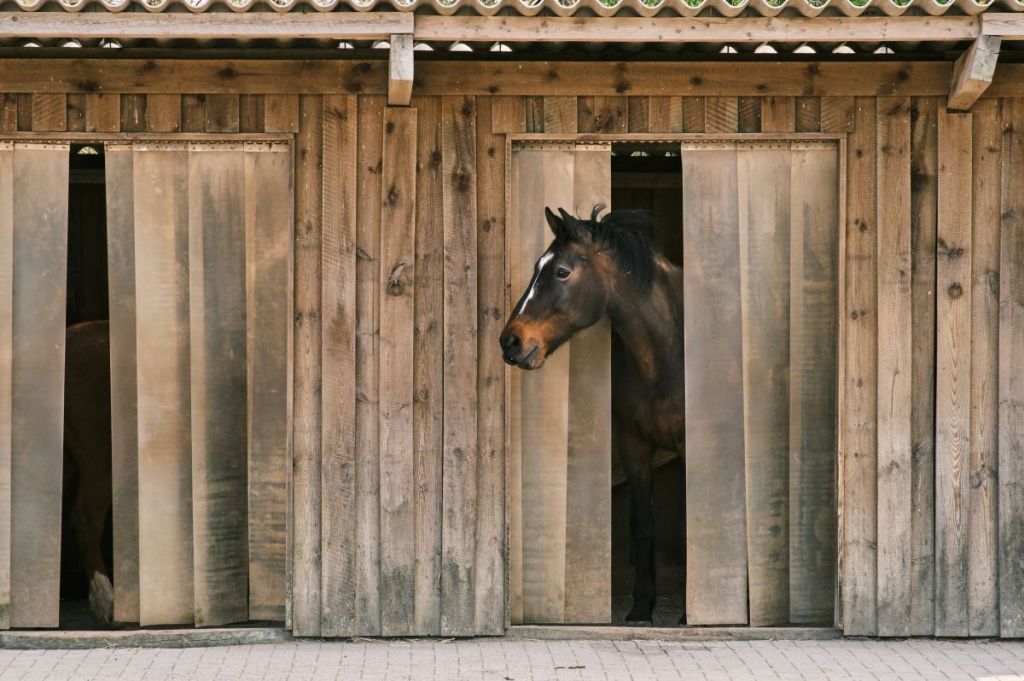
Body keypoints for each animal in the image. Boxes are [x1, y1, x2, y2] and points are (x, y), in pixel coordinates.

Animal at [499, 205, 685, 627]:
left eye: (562, 271)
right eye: (537, 267)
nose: (510, 342)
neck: (665, 355)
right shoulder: (634, 447)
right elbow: (641, 525)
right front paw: (640, 608)